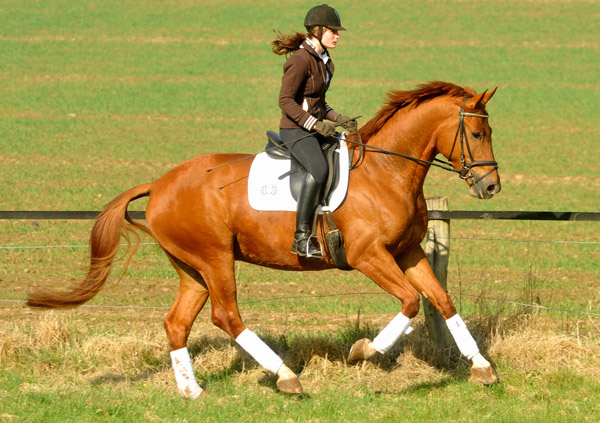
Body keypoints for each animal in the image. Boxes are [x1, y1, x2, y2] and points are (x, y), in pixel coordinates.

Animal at [27, 81, 502, 400]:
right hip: (215, 258)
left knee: (177, 323)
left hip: (192, 268)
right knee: (226, 316)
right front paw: (365, 351)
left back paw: (193, 392)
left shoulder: (406, 252)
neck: (387, 172)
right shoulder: (369, 256)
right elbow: (409, 301)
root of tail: (160, 183)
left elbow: (441, 300)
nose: (490, 186)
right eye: (477, 134)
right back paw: (286, 376)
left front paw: (481, 366)